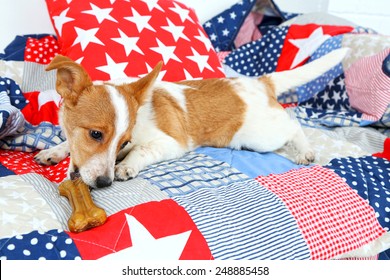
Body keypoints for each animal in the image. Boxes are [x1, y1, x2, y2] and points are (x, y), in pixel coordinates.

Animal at [35, 48, 348, 188]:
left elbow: (142, 151)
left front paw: (127, 166)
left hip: (260, 136)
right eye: (96, 134)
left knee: (294, 124)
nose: (104, 183)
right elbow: (66, 141)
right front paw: (55, 150)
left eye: (124, 142)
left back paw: (305, 151)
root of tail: (261, 82)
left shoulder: (170, 143)